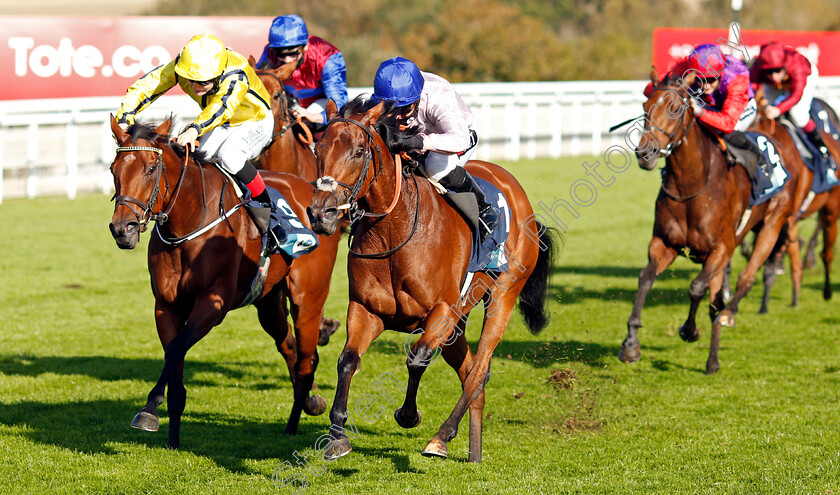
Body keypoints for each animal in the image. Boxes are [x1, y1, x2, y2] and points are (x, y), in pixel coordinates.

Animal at [109, 116, 342, 450]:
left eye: (151, 169)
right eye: (113, 169)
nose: (122, 229)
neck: (190, 221)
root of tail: (317, 198)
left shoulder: (213, 303)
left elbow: (177, 347)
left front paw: (148, 408)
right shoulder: (166, 306)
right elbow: (173, 355)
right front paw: (170, 434)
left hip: (307, 299)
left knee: (306, 361)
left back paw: (297, 418)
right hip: (268, 302)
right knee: (290, 347)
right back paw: (305, 407)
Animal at [306, 99, 556, 464]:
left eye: (357, 151)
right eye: (318, 148)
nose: (320, 214)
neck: (394, 229)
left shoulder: (441, 312)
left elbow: (418, 357)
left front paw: (409, 415)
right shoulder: (366, 309)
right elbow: (347, 360)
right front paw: (337, 436)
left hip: (502, 296)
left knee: (478, 371)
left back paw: (441, 437)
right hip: (457, 327)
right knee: (470, 372)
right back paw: (474, 452)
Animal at [620, 71, 804, 376]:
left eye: (675, 108)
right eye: (645, 108)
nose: (646, 154)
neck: (691, 187)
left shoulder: (720, 249)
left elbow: (696, 288)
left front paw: (689, 330)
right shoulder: (663, 244)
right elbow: (645, 277)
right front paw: (631, 344)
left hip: (772, 225)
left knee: (744, 280)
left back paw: (729, 317)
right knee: (716, 301)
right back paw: (713, 361)